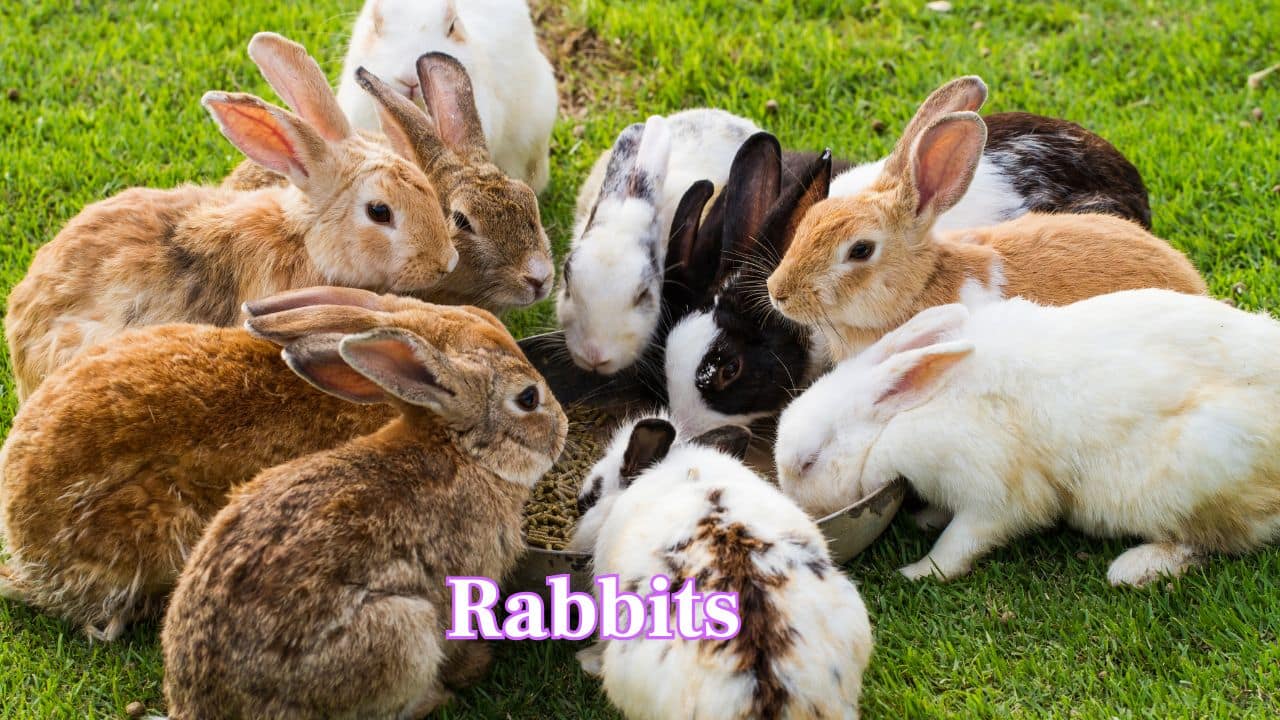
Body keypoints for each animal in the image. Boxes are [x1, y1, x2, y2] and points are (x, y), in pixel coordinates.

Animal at [776, 291, 1280, 587]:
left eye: (808, 462)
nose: (799, 509)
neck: (897, 421)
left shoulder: (993, 494)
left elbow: (961, 543)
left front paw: (918, 572)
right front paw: (925, 518)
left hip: (1189, 479)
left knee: (1215, 542)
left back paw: (1134, 568)